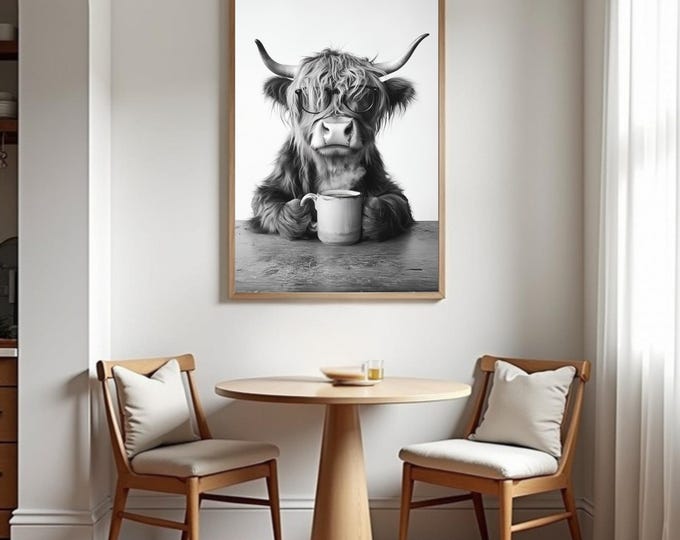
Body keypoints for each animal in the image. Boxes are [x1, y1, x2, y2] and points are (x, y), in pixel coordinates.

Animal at [250, 34, 429, 241]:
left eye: (364, 94)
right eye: (310, 94)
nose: (336, 129)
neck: (333, 167)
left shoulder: (389, 189)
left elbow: (395, 203)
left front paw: (370, 212)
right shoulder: (271, 187)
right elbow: (268, 204)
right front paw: (296, 213)